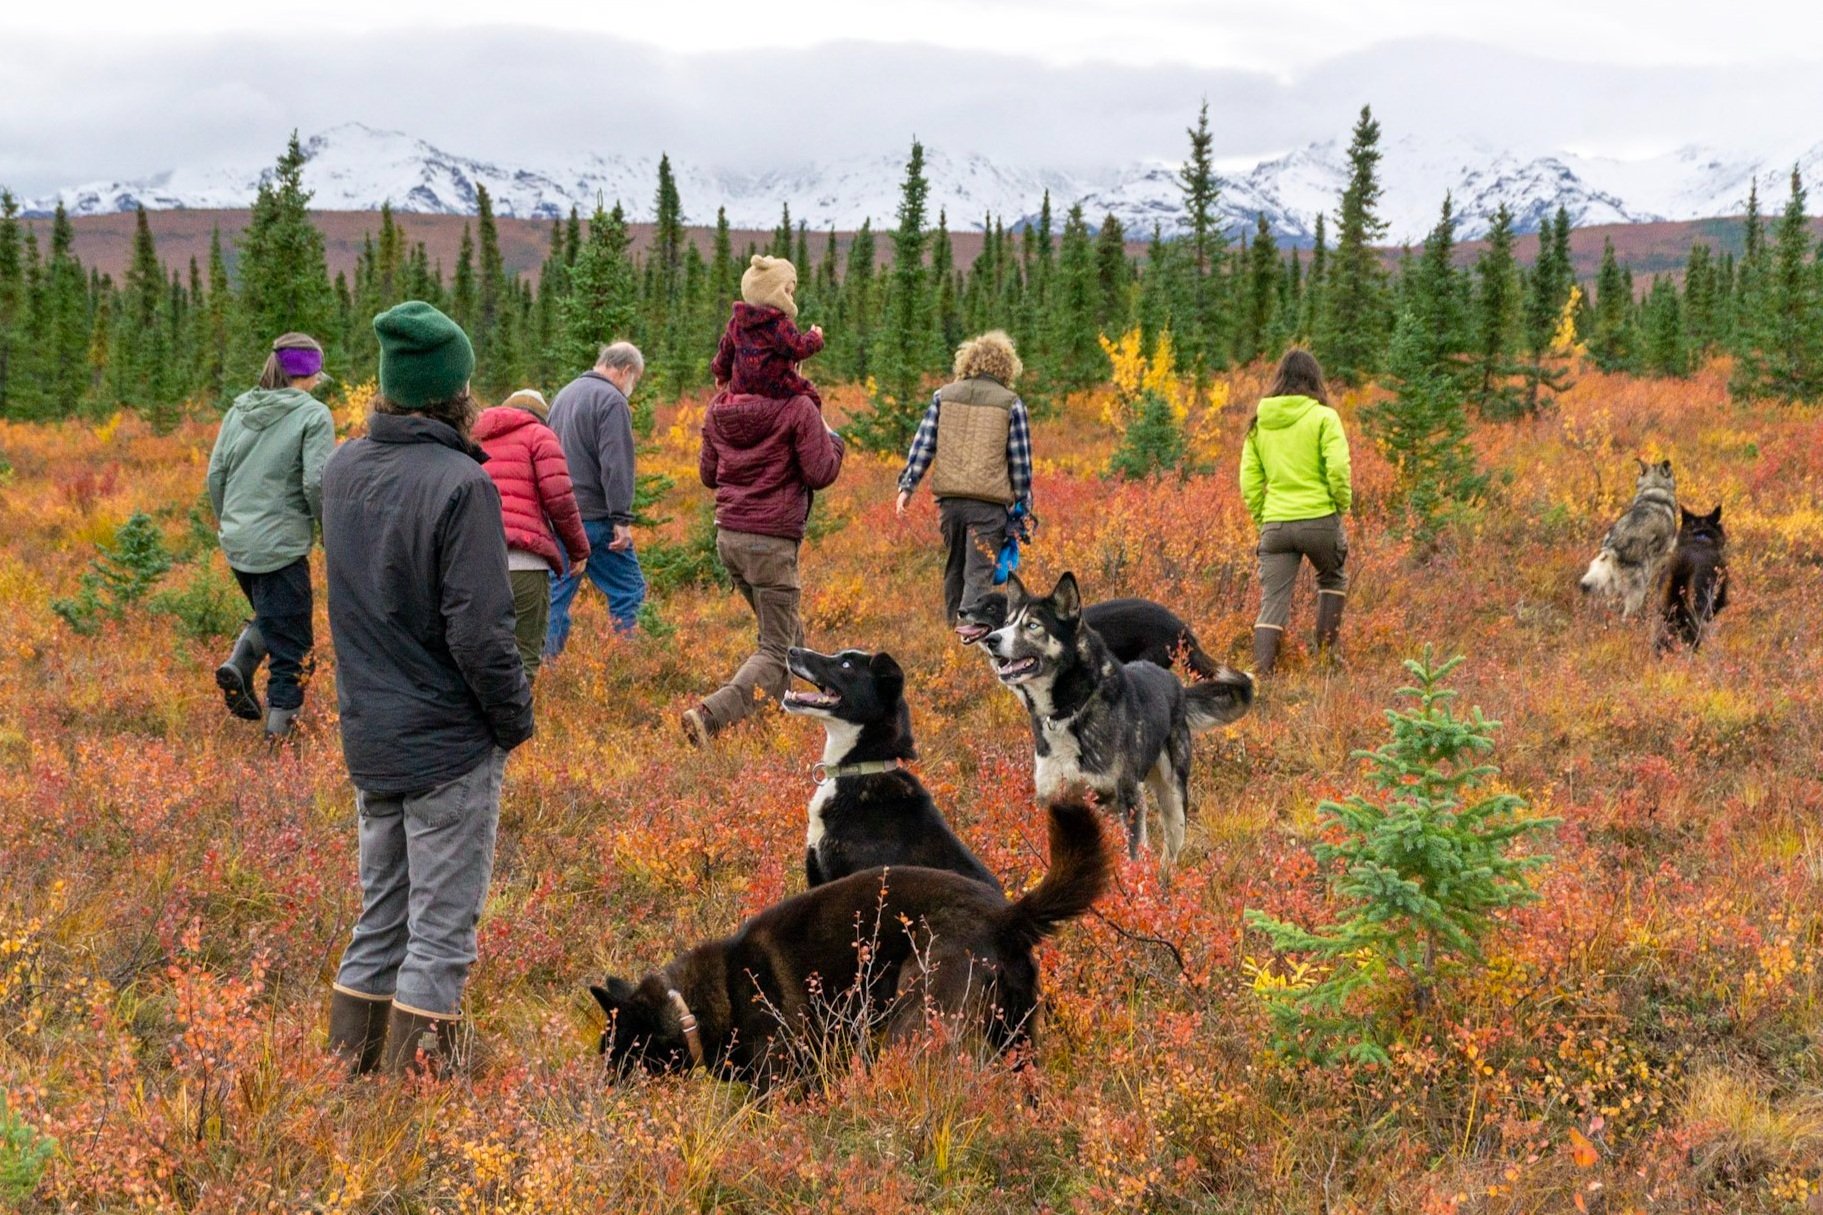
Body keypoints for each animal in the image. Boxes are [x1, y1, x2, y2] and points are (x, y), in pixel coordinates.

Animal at [594, 795, 1108, 1087]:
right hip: (1017, 1039)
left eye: (618, 1052)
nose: (602, 1096)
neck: (693, 1006)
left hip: (915, 1023)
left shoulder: (781, 1081)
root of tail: (1005, 916)